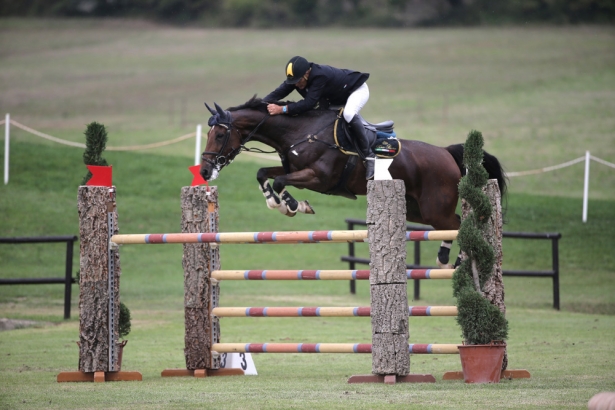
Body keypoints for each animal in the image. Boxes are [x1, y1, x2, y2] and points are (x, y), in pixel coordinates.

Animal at [200, 97, 508, 270]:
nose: (204, 170)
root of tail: (446, 152)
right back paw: (446, 258)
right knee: (452, 224)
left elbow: (279, 181)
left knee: (457, 224)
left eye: (219, 135)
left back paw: (457, 260)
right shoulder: (294, 169)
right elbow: (264, 173)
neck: (302, 131)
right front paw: (277, 203)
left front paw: (292, 205)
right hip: (417, 210)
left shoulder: (319, 178)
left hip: (435, 207)